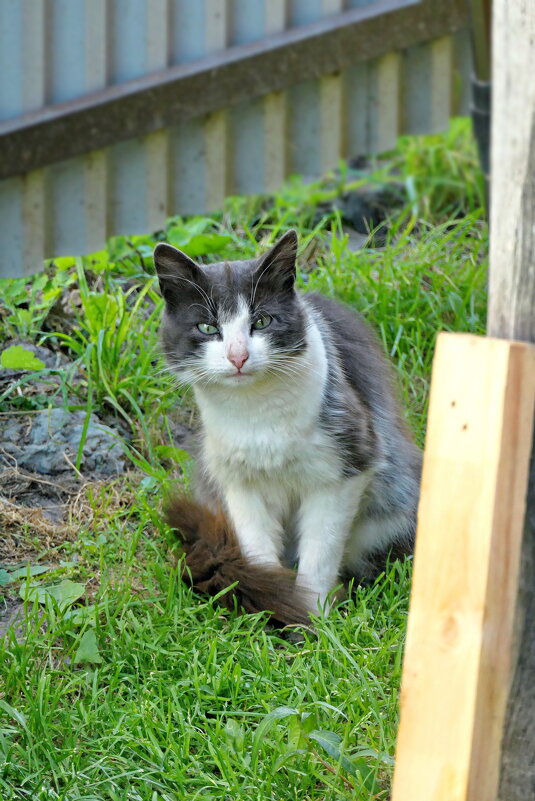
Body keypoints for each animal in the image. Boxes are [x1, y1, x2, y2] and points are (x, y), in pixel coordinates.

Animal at [155, 228, 422, 620]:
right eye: (207, 327)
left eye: (262, 322)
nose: (238, 357)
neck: (255, 412)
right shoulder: (237, 481)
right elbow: (258, 550)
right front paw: (268, 610)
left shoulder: (344, 467)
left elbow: (320, 555)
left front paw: (314, 618)